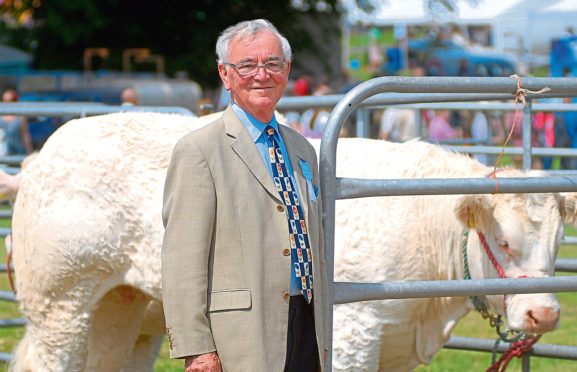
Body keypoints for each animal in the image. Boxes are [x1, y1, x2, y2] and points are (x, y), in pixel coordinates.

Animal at [6, 112, 572, 370]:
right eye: (502, 239)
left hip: (126, 313)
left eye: (559, 241)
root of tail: (43, 155)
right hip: (61, 305)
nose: (544, 315)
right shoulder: (353, 335)